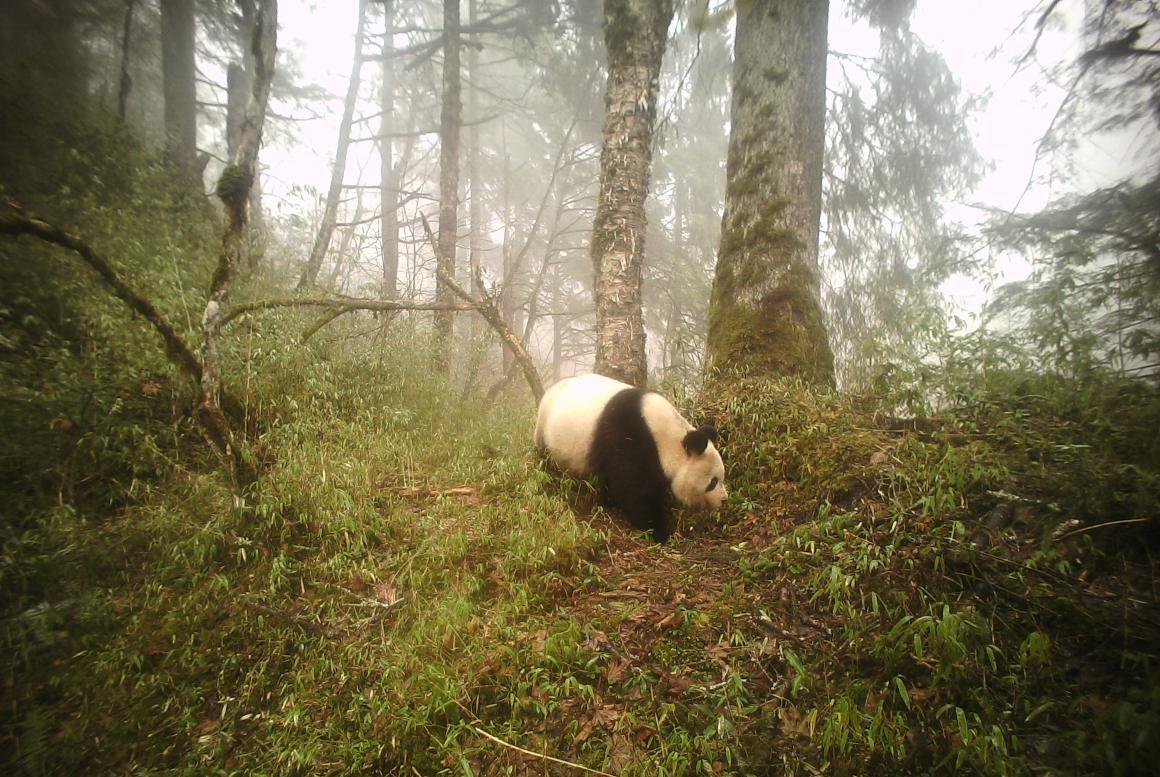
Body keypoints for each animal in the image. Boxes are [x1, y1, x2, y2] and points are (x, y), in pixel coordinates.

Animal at [531, 373, 723, 545]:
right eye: (713, 482)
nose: (724, 500)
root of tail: (549, 392)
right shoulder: (627, 437)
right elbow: (634, 490)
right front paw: (658, 531)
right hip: (544, 434)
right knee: (545, 465)